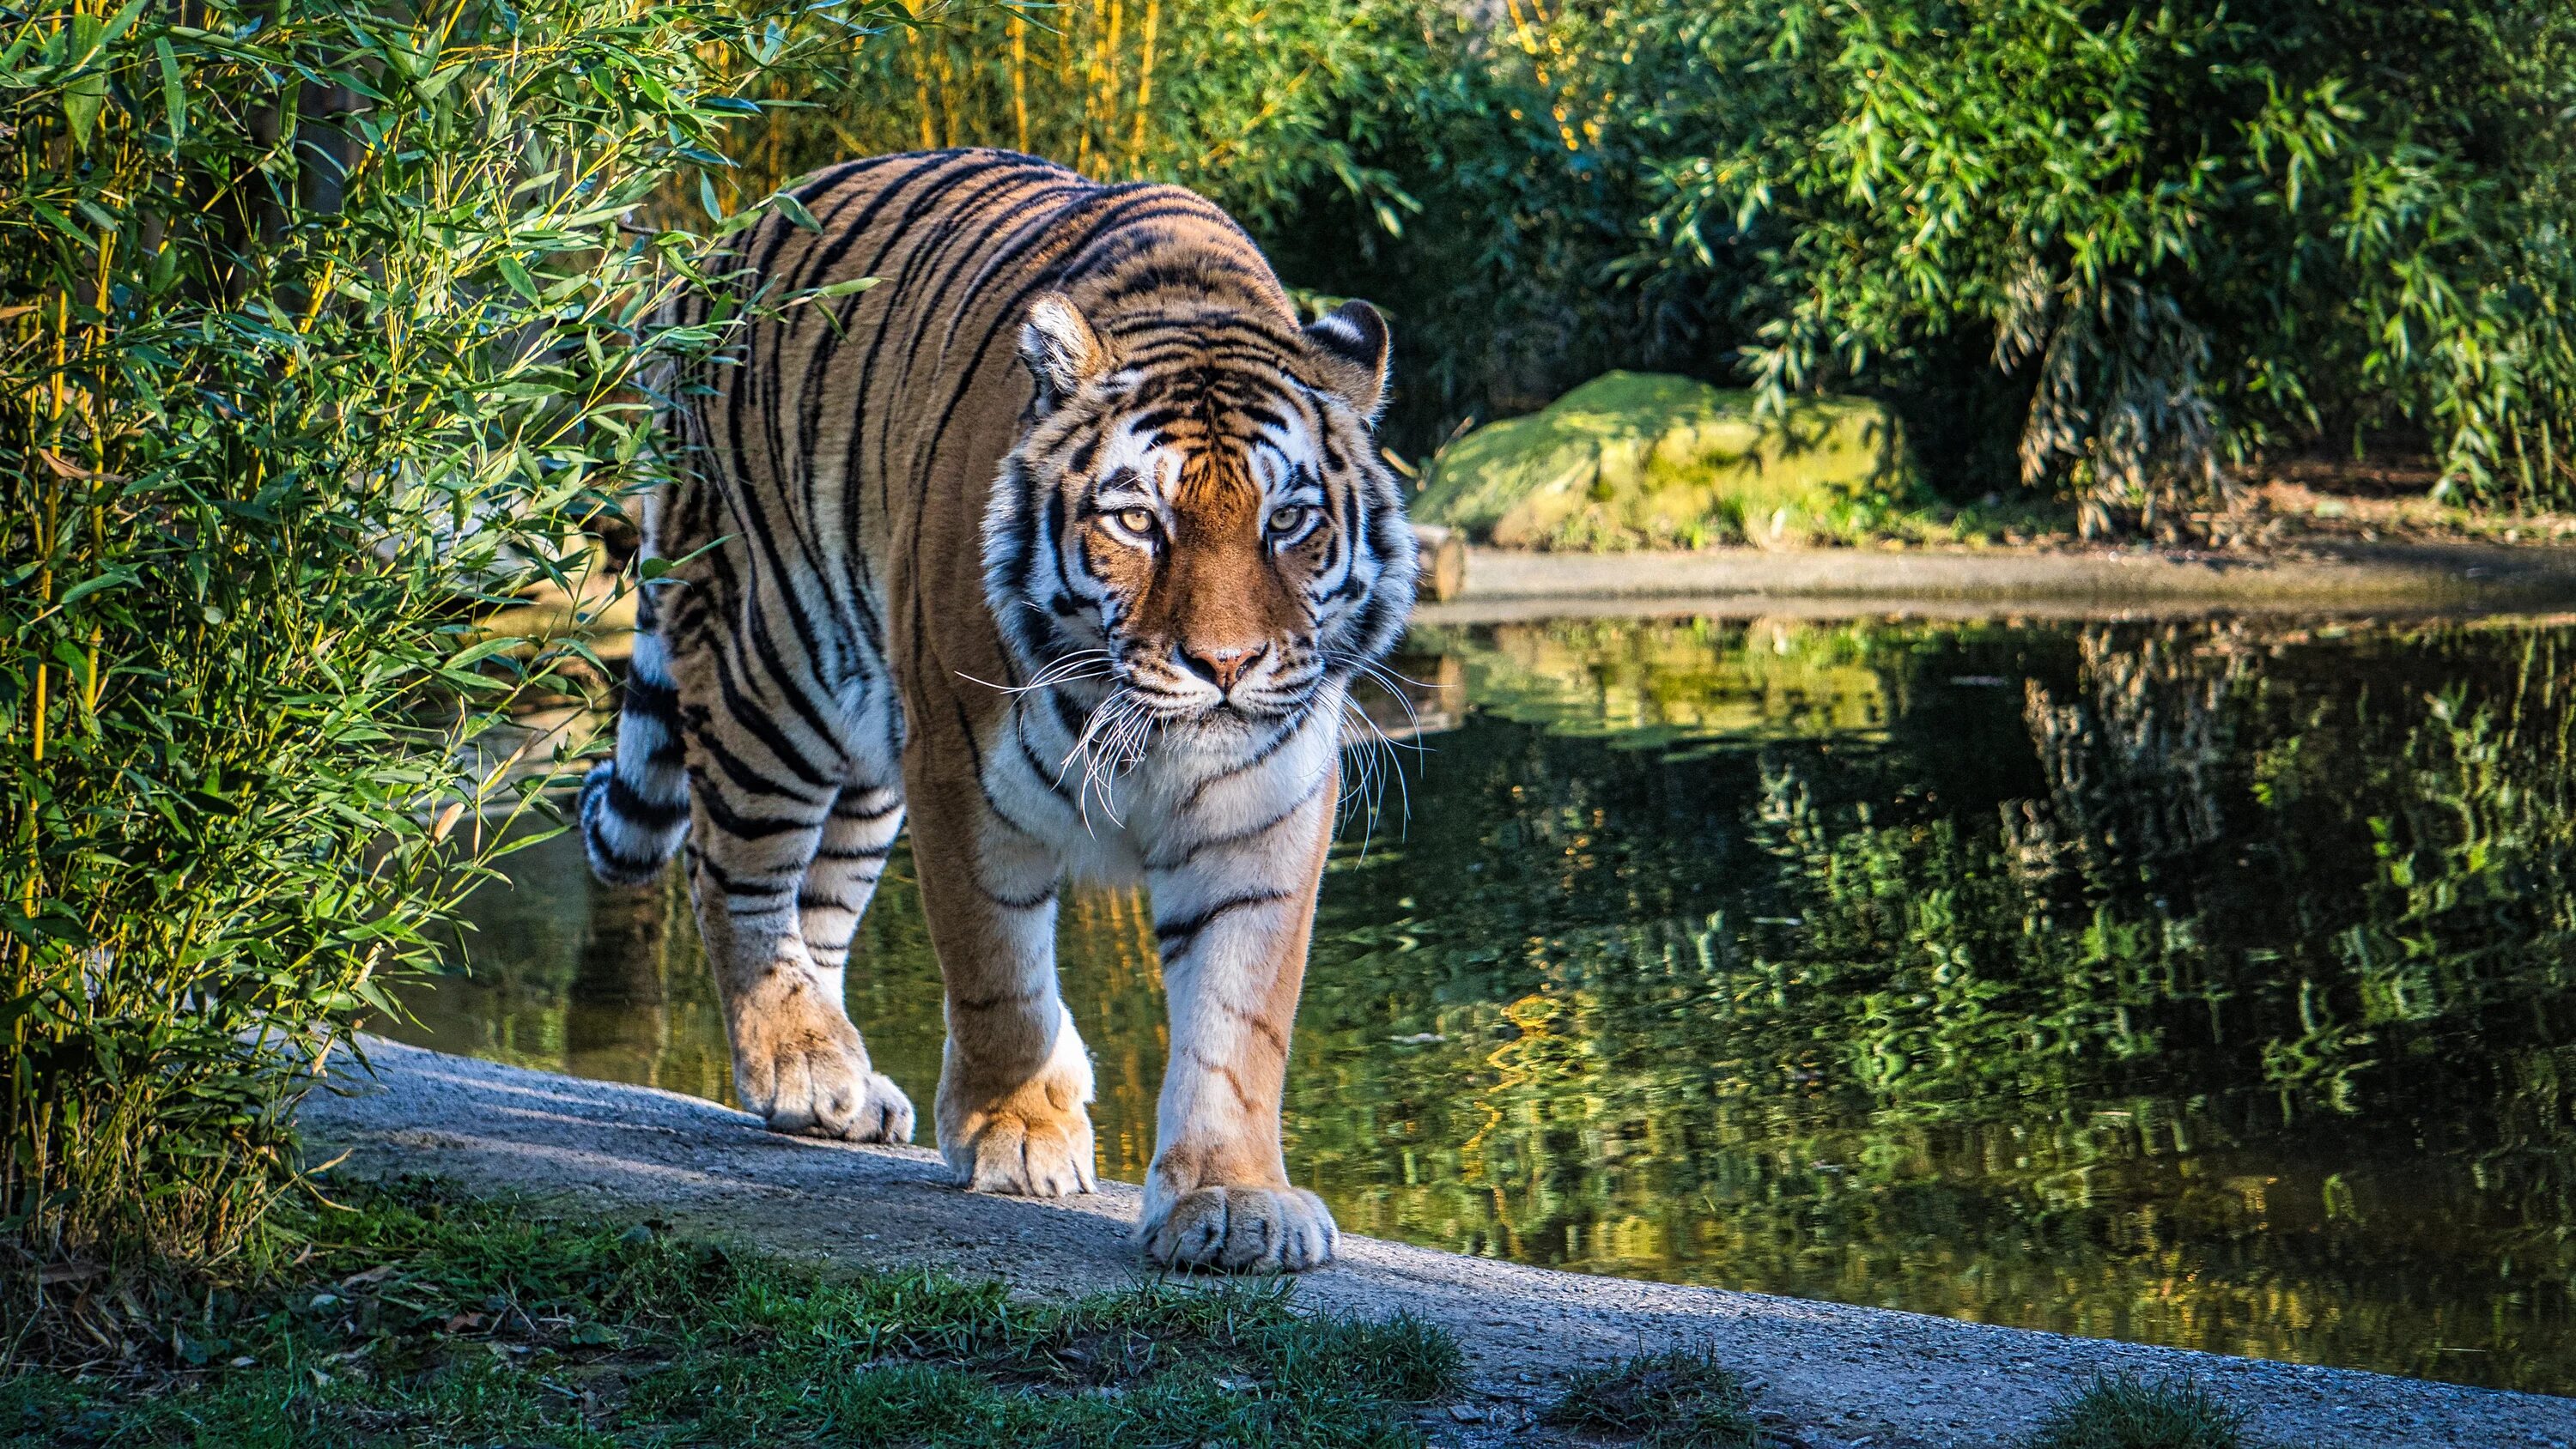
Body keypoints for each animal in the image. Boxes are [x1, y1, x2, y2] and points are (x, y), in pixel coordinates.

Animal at [577, 153, 1422, 1276]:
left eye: (1288, 520)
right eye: (1137, 520)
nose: (1227, 664)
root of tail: (716, 248)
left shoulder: (1266, 808)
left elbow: (1240, 1020)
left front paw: (1234, 1197)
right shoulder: (962, 774)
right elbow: (998, 975)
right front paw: (1020, 1133)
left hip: (867, 748)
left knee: (820, 906)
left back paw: (845, 1085)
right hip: (776, 671)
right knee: (737, 873)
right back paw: (799, 1062)